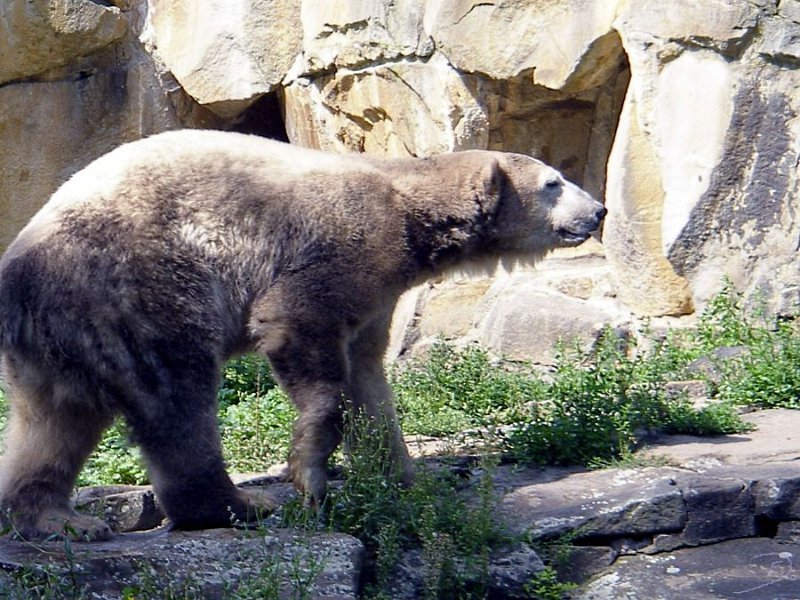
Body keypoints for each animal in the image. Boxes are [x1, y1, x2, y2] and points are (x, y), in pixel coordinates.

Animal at [0, 129, 604, 540]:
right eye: (553, 182)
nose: (598, 211)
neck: (410, 208)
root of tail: (17, 278)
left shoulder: (381, 292)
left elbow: (368, 380)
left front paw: (407, 479)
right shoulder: (349, 245)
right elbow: (298, 326)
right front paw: (309, 475)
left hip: (67, 333)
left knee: (53, 422)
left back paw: (59, 519)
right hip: (137, 288)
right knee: (177, 396)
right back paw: (236, 506)